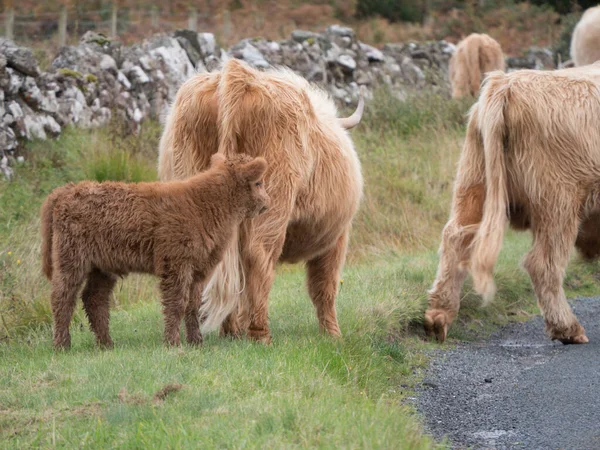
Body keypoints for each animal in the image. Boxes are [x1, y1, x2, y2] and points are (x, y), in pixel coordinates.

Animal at [40, 153, 270, 350]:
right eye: (258, 183)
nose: (268, 203)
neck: (205, 204)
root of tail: (66, 191)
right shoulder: (176, 264)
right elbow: (176, 303)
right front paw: (173, 342)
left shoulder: (198, 270)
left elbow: (193, 305)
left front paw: (196, 342)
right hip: (71, 259)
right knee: (62, 297)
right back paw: (62, 345)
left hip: (102, 267)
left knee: (94, 299)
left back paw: (106, 344)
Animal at [157, 58, 364, 342]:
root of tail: (238, 75)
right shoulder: (337, 237)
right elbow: (325, 285)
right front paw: (333, 335)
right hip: (272, 198)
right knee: (258, 255)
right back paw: (259, 334)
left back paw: (229, 331)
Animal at [422, 63, 600, 344]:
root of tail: (505, 83)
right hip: (558, 200)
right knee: (543, 263)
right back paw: (568, 328)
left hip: (473, 180)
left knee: (455, 236)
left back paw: (438, 316)